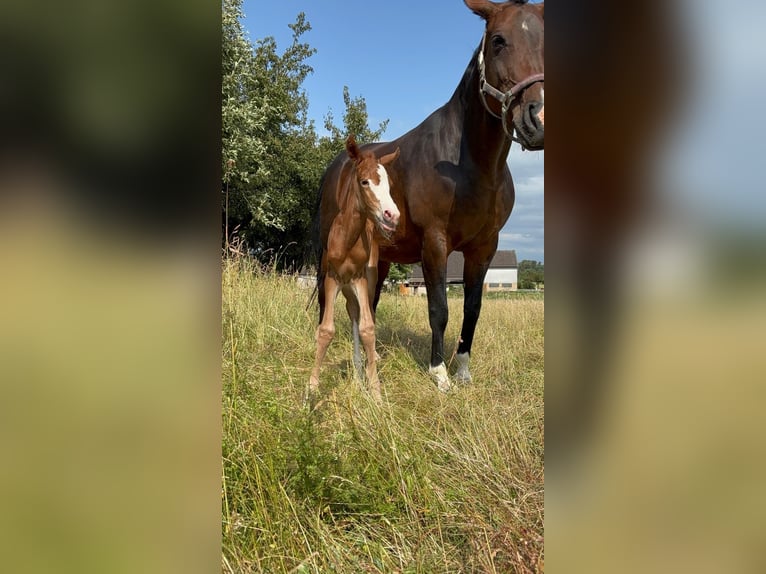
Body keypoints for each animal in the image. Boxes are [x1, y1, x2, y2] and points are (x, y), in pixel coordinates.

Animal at [310, 135, 401, 401]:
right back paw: (358, 369)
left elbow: (368, 328)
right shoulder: (332, 278)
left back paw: (362, 371)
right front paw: (311, 390)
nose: (392, 215)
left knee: (360, 313)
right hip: (345, 285)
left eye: (389, 185)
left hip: (366, 279)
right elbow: (326, 330)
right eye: (364, 181)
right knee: (352, 312)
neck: (347, 238)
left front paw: (376, 390)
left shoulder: (359, 278)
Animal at [316, 0, 544, 392]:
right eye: (498, 41)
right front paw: (439, 373)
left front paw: (463, 370)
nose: (537, 118)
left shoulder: (485, 246)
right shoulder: (435, 242)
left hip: (378, 258)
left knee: (368, 303)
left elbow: (472, 308)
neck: (471, 166)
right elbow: (439, 307)